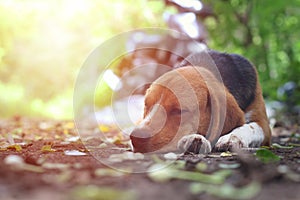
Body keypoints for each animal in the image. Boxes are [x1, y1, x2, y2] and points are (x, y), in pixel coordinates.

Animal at [130, 50, 270, 153]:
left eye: (179, 111)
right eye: (146, 105)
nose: (136, 137)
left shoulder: (264, 124)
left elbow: (252, 127)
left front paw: (233, 137)